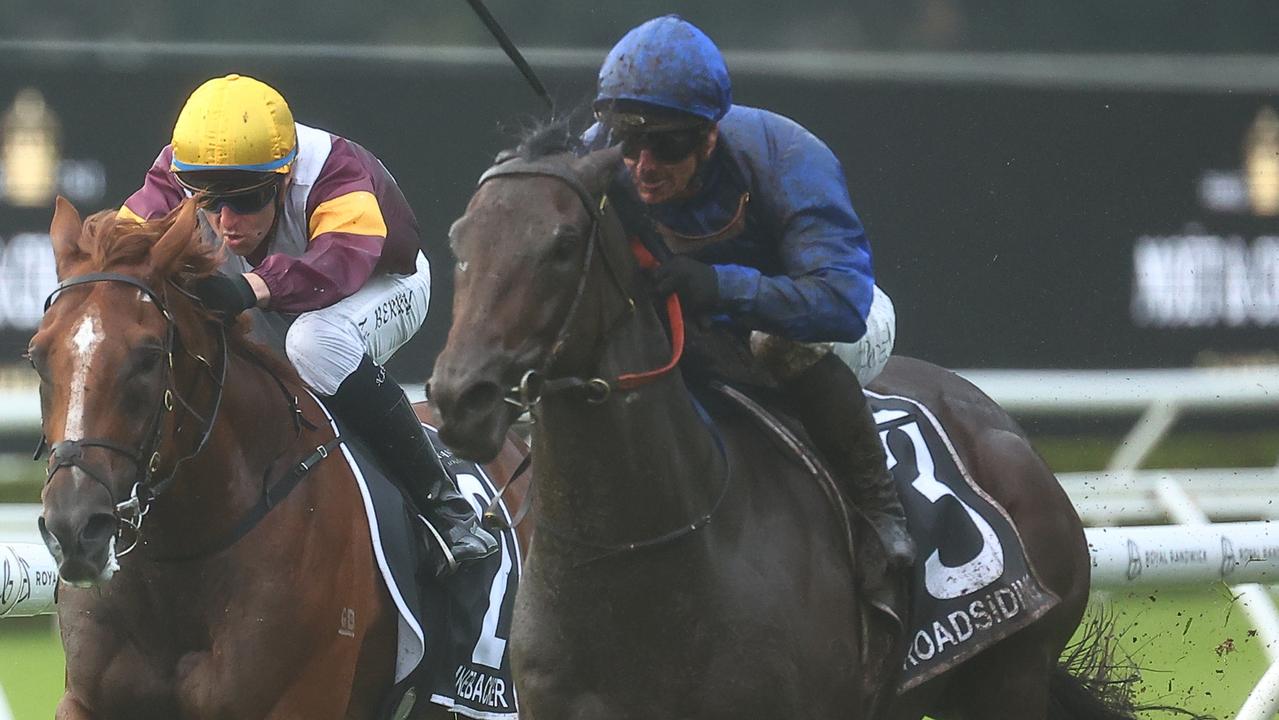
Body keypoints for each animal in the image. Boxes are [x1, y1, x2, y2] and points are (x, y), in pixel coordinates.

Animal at [31, 198, 529, 720]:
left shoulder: (299, 699)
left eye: (148, 356)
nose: (74, 526)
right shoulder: (86, 701)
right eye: (36, 355)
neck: (179, 561)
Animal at [429, 136, 1140, 720]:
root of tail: (1008, 433)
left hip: (1010, 675)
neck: (636, 553)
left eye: (561, 244)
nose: (461, 396)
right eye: (460, 242)